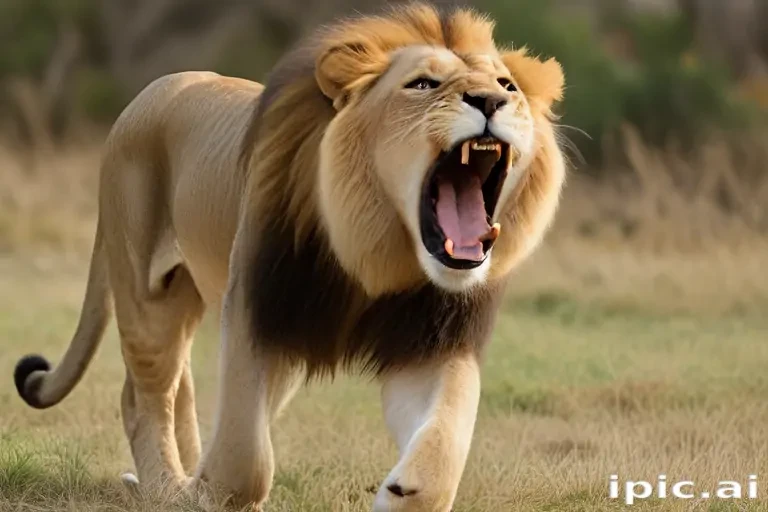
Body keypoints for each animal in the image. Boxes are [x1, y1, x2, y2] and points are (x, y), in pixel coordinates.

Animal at [13, 3, 565, 511]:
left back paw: (185, 477)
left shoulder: (432, 343)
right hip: (146, 290)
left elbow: (448, 428)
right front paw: (212, 492)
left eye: (507, 85)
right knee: (145, 395)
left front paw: (403, 492)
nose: (492, 100)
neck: (376, 247)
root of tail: (149, 93)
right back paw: (170, 489)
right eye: (424, 84)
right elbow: (246, 457)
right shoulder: (256, 314)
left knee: (179, 389)